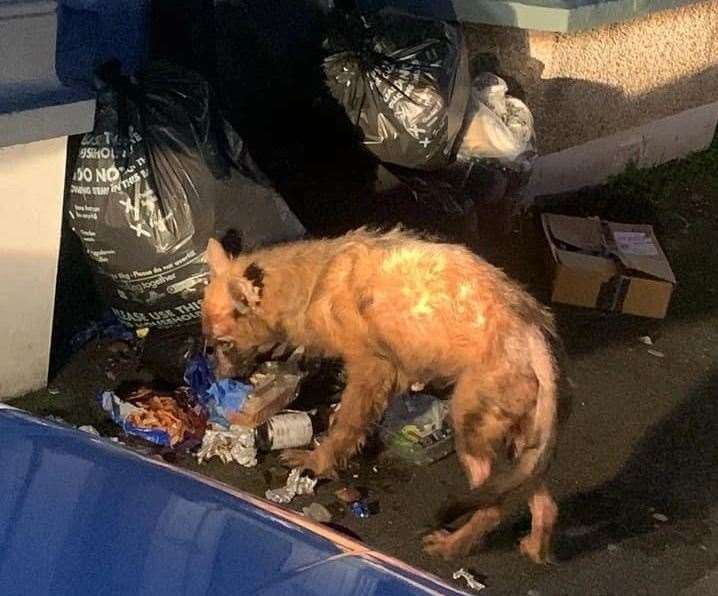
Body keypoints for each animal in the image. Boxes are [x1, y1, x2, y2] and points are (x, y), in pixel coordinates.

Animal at [201, 228, 564, 564]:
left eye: (225, 344)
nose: (217, 381)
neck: (312, 283)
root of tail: (533, 334)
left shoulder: (370, 370)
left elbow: (345, 426)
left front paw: (316, 462)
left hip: (469, 427)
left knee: (492, 508)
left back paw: (452, 546)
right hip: (524, 446)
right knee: (543, 502)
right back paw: (535, 547)